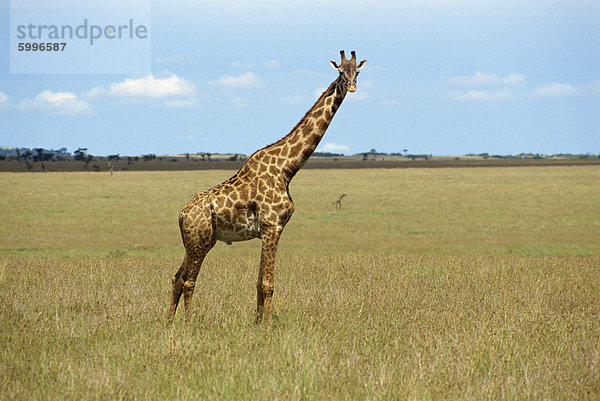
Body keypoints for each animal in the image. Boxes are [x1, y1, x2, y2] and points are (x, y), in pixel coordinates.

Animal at [166, 50, 368, 324]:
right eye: (340, 72)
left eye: (357, 71)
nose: (353, 87)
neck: (287, 168)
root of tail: (181, 214)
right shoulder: (273, 226)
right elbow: (268, 284)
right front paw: (270, 326)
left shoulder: (267, 230)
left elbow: (258, 283)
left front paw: (258, 323)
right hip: (200, 239)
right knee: (189, 281)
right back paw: (188, 324)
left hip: (198, 240)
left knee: (177, 278)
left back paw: (168, 323)